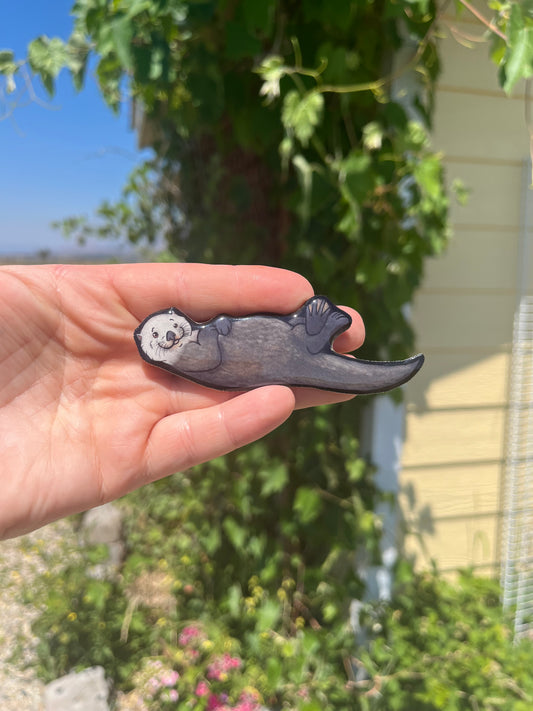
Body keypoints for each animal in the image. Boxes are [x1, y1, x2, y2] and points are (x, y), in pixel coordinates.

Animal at [134, 296, 424, 395]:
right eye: (154, 334)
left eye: (172, 322)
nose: (169, 336)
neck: (193, 334)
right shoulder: (186, 359)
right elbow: (207, 356)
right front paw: (215, 330)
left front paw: (222, 322)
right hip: (295, 344)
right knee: (312, 341)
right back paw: (326, 315)